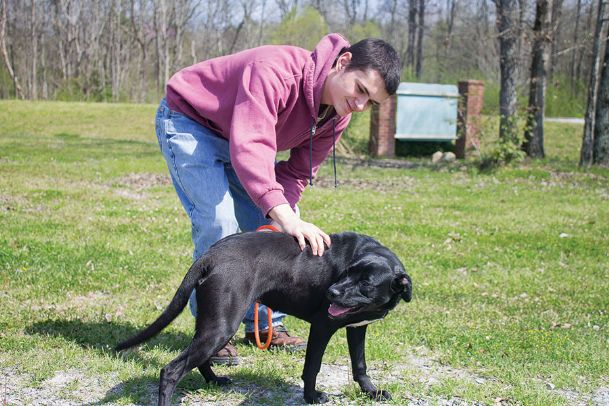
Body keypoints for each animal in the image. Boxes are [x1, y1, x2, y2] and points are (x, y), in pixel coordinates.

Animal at [116, 232, 410, 402]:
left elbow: (360, 365)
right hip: (222, 325)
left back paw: (214, 380)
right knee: (170, 371)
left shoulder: (358, 327)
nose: (331, 292)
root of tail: (211, 254)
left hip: (214, 323)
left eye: (366, 284)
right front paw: (312, 397)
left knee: (197, 358)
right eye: (347, 272)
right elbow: (312, 367)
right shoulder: (322, 326)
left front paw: (372, 393)